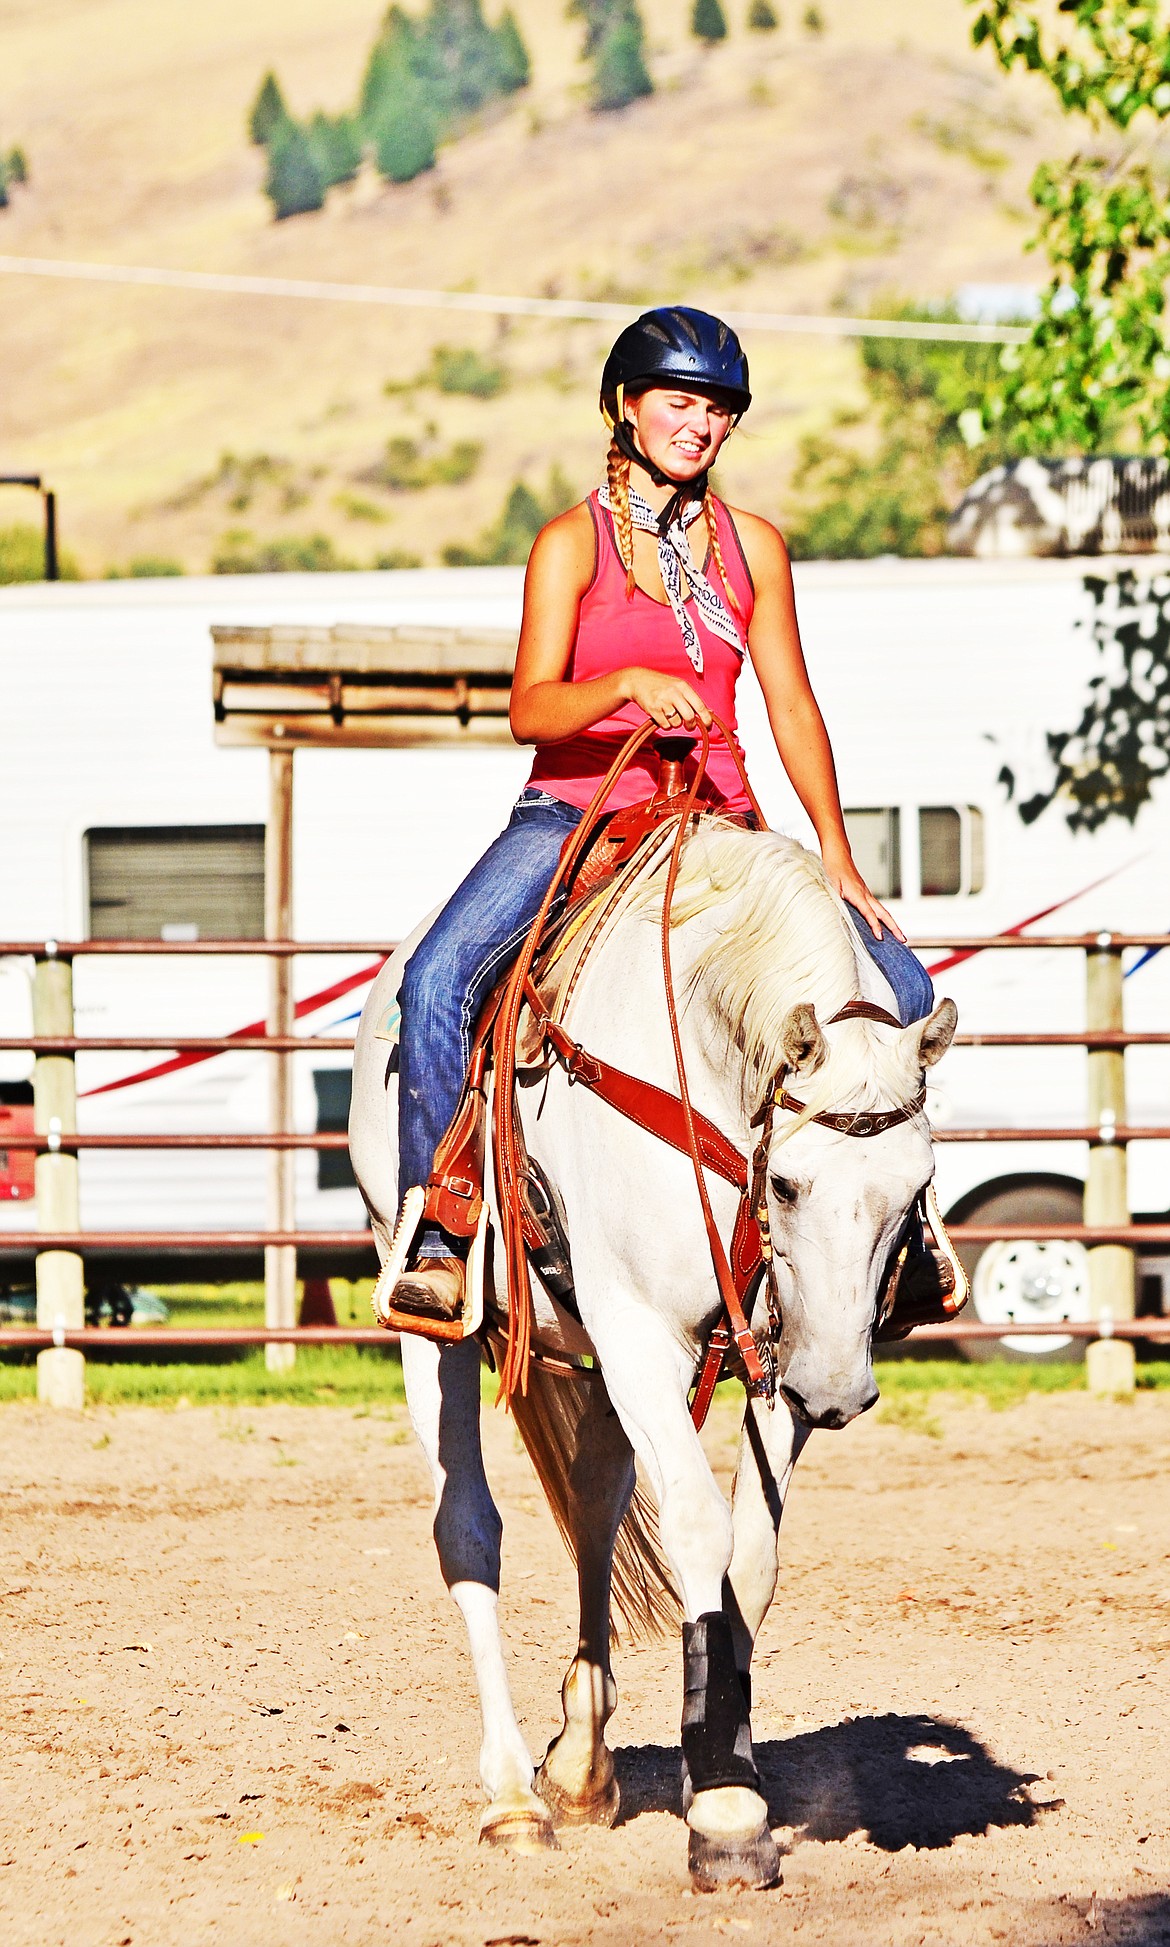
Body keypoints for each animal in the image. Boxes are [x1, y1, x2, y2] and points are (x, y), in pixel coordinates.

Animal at [350, 821, 953, 1884]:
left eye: (915, 1186)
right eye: (788, 1184)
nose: (838, 1390)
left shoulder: (773, 1352)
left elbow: (750, 1559)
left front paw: (725, 1763)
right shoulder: (641, 1332)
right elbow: (700, 1531)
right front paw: (725, 1810)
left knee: (594, 1506)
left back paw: (582, 1763)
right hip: (438, 1324)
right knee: (468, 1526)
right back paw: (511, 1797)